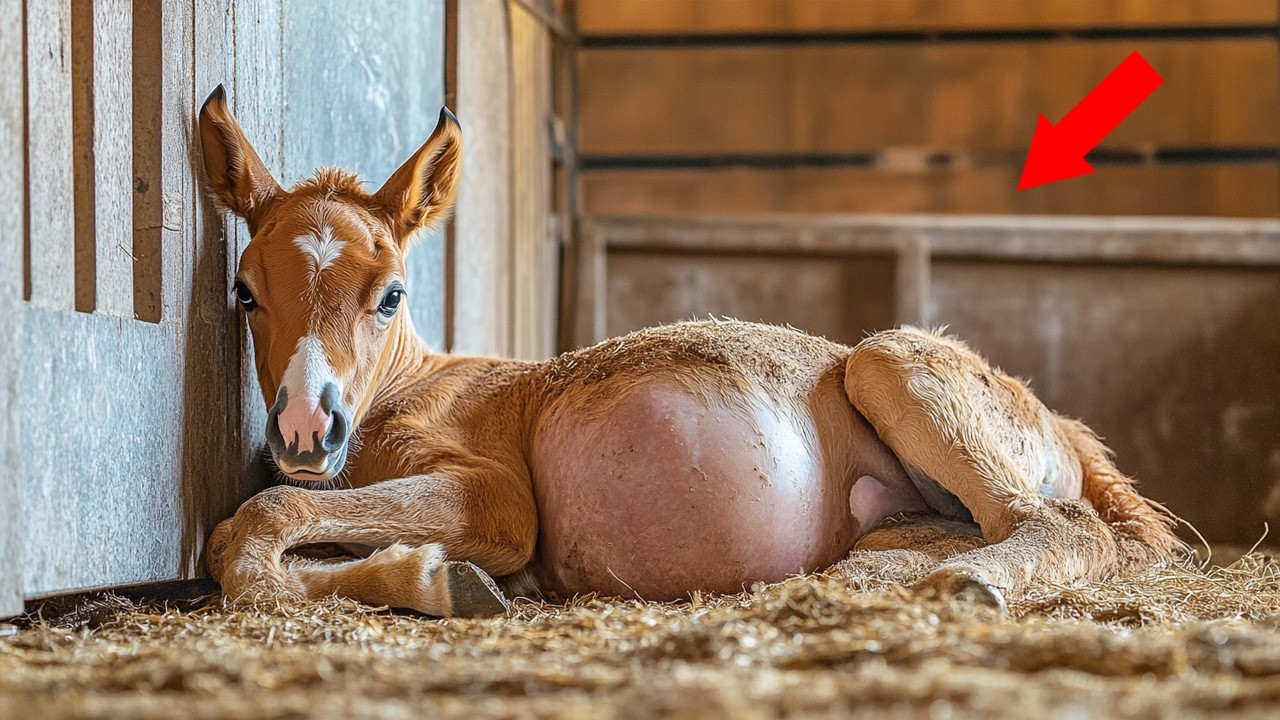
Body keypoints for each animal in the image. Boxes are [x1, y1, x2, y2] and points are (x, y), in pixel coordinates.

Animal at [199, 86, 1184, 616]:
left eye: (392, 293)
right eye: (245, 291)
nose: (305, 426)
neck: (404, 394)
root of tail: (1059, 422)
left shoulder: (496, 496)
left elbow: (251, 529)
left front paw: (443, 579)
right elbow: (255, 539)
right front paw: (441, 576)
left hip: (893, 364)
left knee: (1058, 524)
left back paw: (971, 582)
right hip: (901, 510)